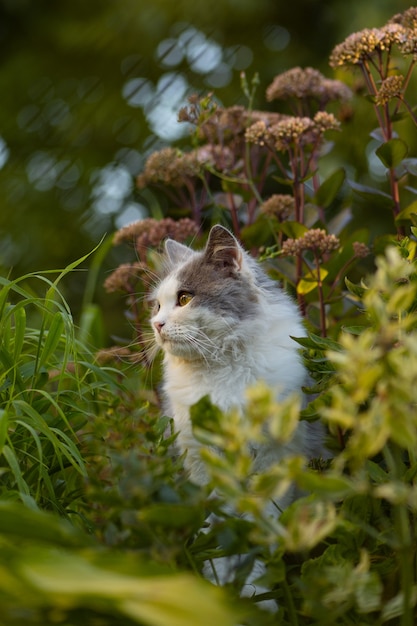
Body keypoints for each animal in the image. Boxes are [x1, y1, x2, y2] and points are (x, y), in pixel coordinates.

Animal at [150, 222, 324, 604]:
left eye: (184, 298)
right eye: (157, 305)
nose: (156, 324)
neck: (222, 370)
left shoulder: (273, 462)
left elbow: (256, 539)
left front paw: (255, 595)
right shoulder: (202, 467)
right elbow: (220, 540)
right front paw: (220, 590)